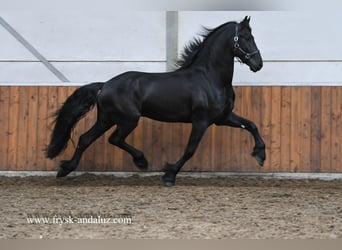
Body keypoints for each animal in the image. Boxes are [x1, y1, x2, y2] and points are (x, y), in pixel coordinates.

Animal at [45, 16, 266, 186]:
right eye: (245, 37)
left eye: (252, 37)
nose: (258, 64)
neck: (210, 78)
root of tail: (105, 84)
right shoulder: (201, 121)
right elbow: (190, 150)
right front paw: (169, 175)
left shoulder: (223, 117)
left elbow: (252, 125)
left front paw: (260, 155)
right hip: (128, 119)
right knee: (114, 139)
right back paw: (141, 161)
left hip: (107, 118)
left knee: (86, 138)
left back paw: (65, 169)